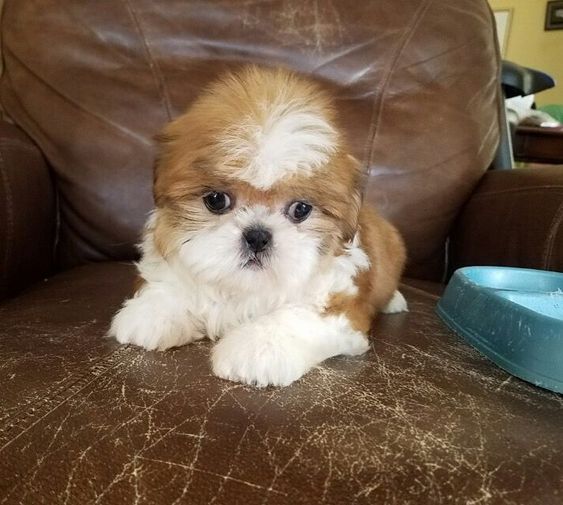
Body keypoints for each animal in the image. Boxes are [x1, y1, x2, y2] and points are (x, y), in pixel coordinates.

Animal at [108, 66, 408, 386]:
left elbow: (295, 318)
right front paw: (154, 312)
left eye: (301, 209)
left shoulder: (337, 307)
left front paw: (258, 347)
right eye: (216, 200)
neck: (243, 288)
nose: (257, 236)